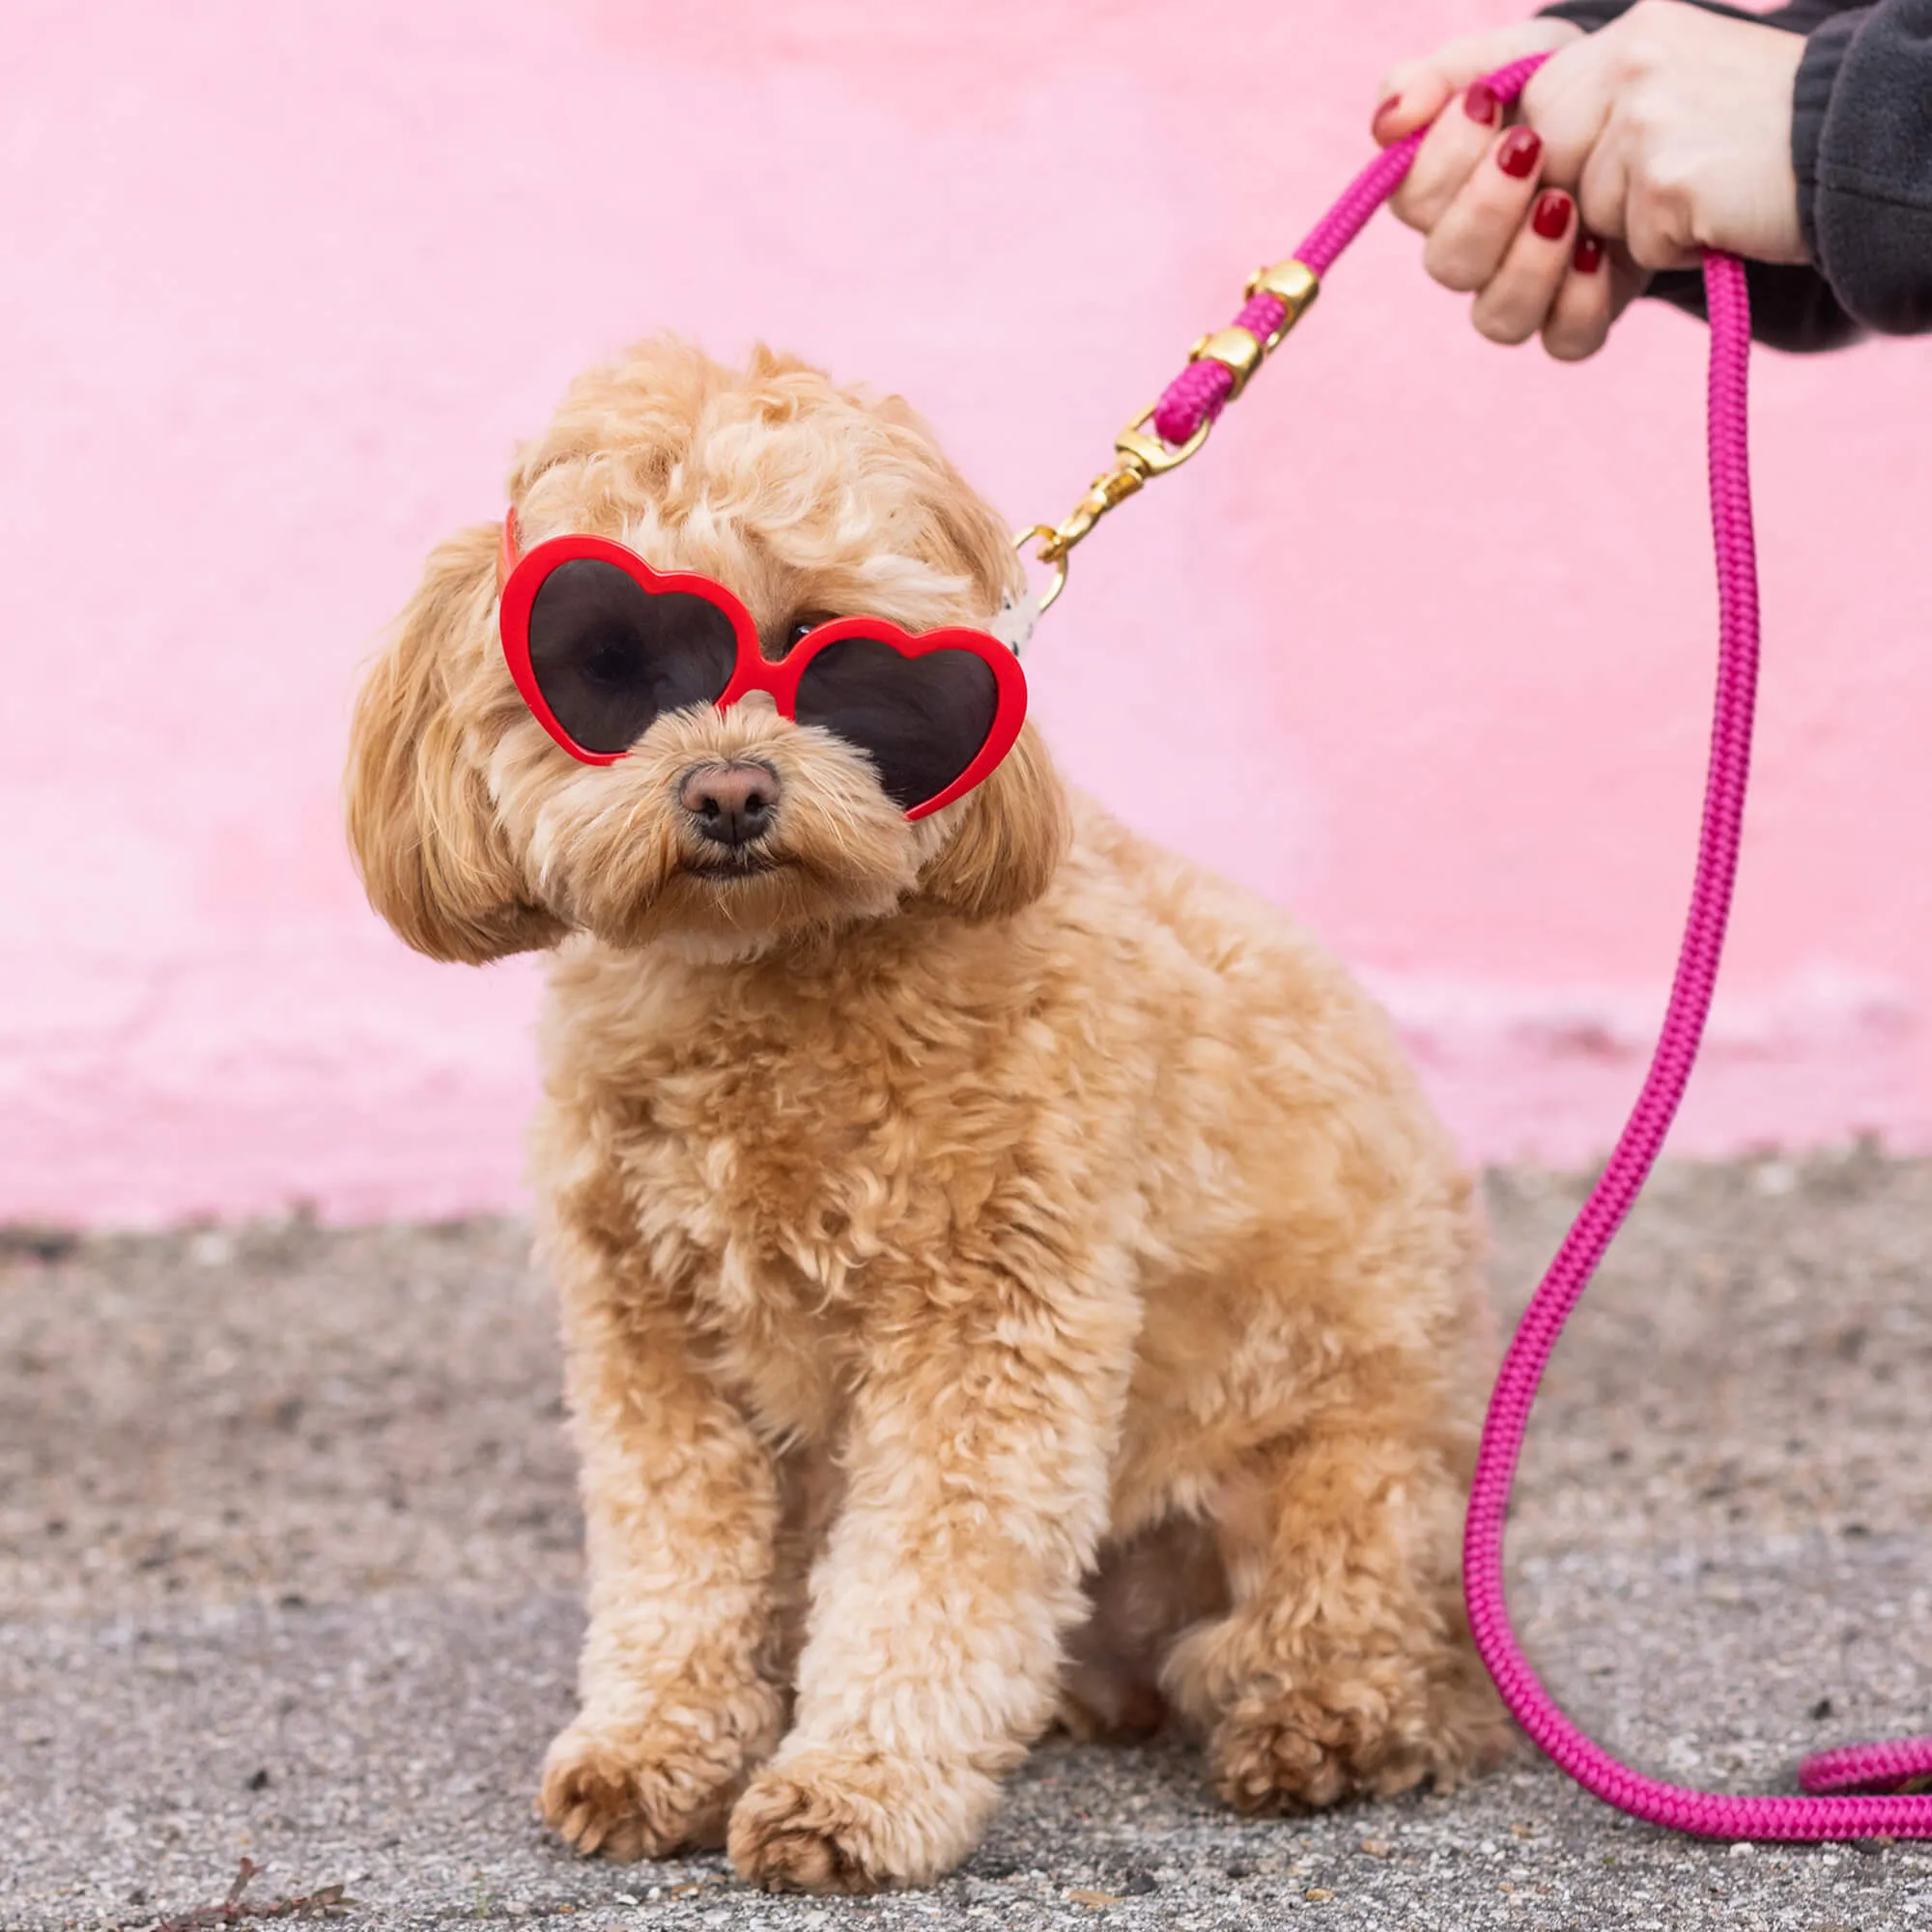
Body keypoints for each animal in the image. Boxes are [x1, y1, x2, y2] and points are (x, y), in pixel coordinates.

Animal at [355, 340, 1515, 1893]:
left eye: (833, 653)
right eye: (606, 665)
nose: (731, 789)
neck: (769, 980)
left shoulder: (988, 1327)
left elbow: (931, 1573)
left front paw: (856, 1788)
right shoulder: (656, 1344)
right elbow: (679, 1559)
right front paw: (655, 1746)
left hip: (1344, 1462)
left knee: (1373, 1637)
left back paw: (1322, 1718)